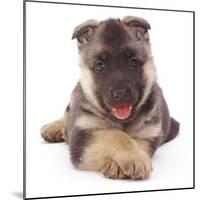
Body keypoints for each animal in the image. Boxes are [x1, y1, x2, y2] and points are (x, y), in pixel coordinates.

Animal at [40, 16, 180, 180]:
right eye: (99, 66)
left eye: (133, 62)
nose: (120, 93)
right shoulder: (83, 136)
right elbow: (115, 134)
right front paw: (133, 158)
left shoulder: (148, 136)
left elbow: (133, 141)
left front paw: (125, 161)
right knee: (67, 113)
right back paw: (54, 128)